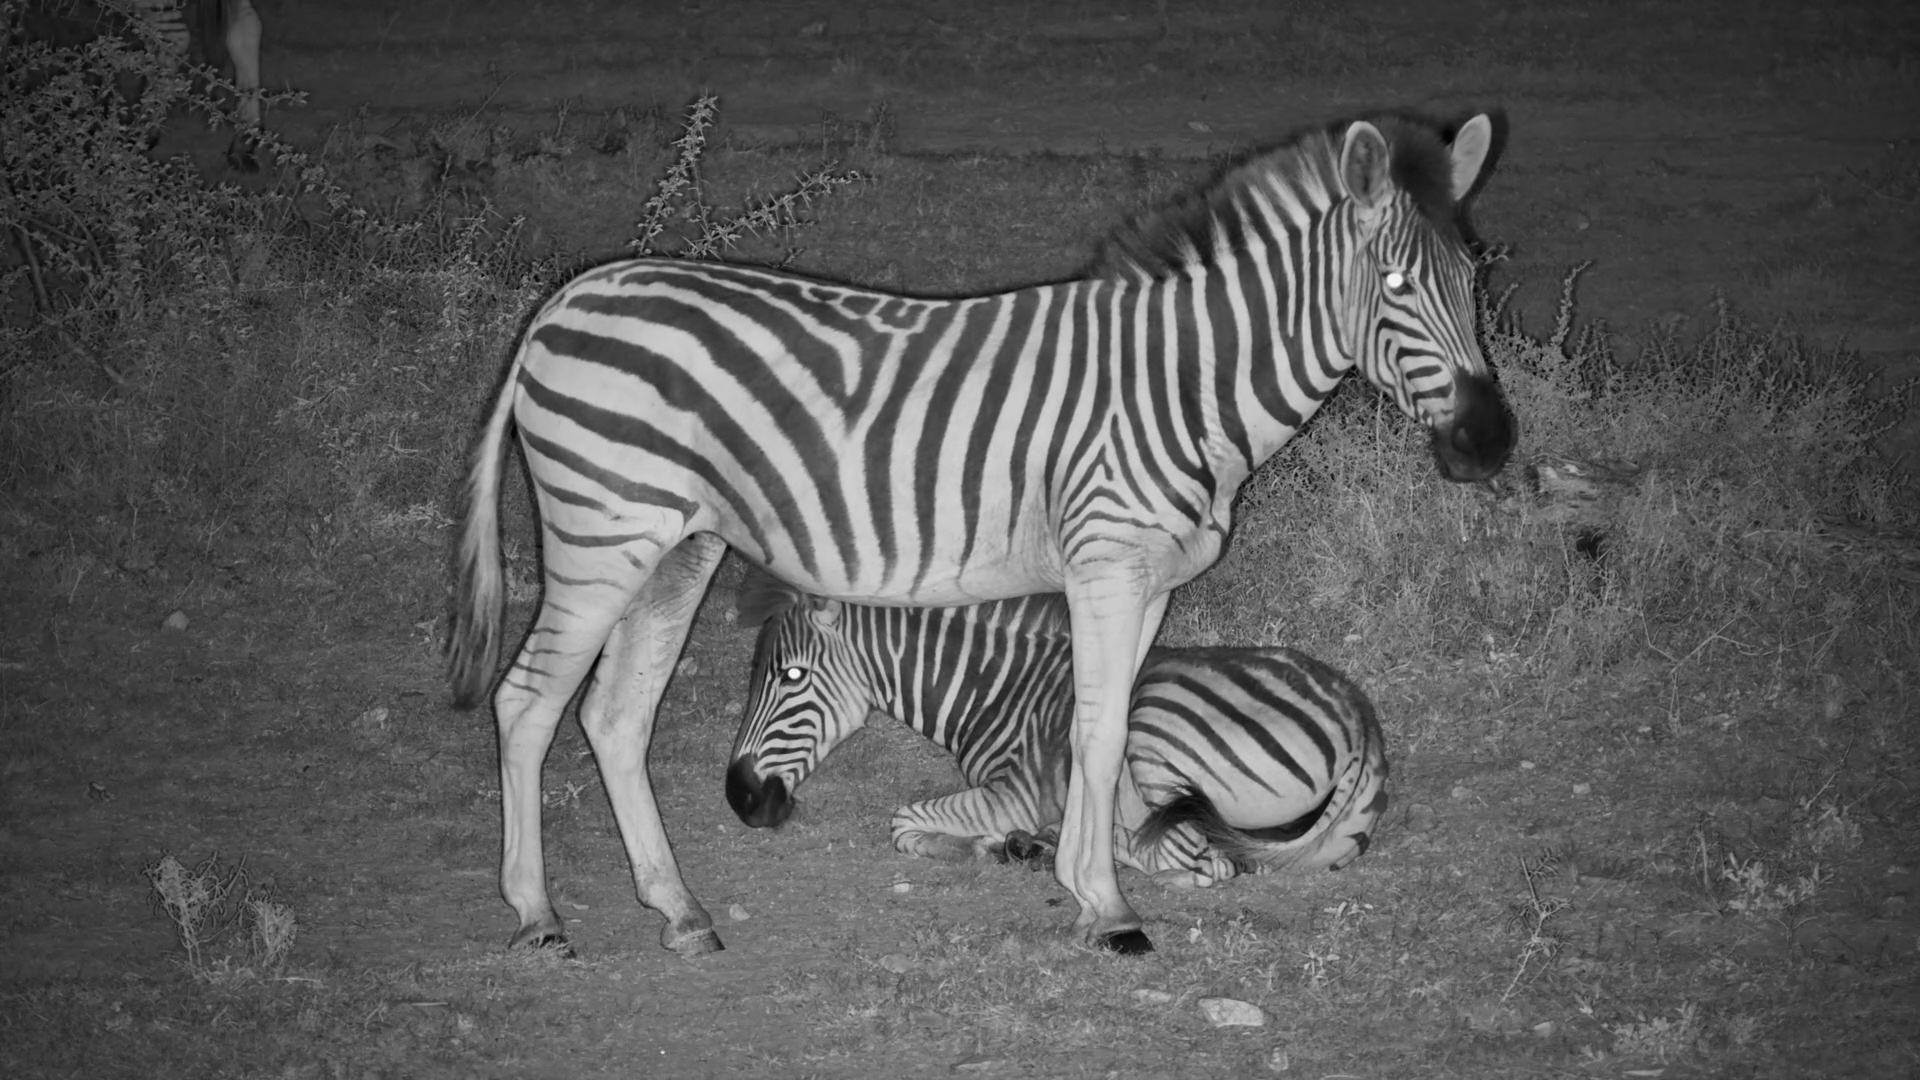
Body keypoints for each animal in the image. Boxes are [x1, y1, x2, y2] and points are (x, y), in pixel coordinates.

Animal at [725, 576, 1389, 886]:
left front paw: (998, 845)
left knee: (1193, 861)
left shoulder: (1013, 792)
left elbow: (903, 823)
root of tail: (1359, 720)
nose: (740, 800)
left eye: (791, 675)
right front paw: (1004, 845)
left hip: (1152, 730)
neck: (996, 686)